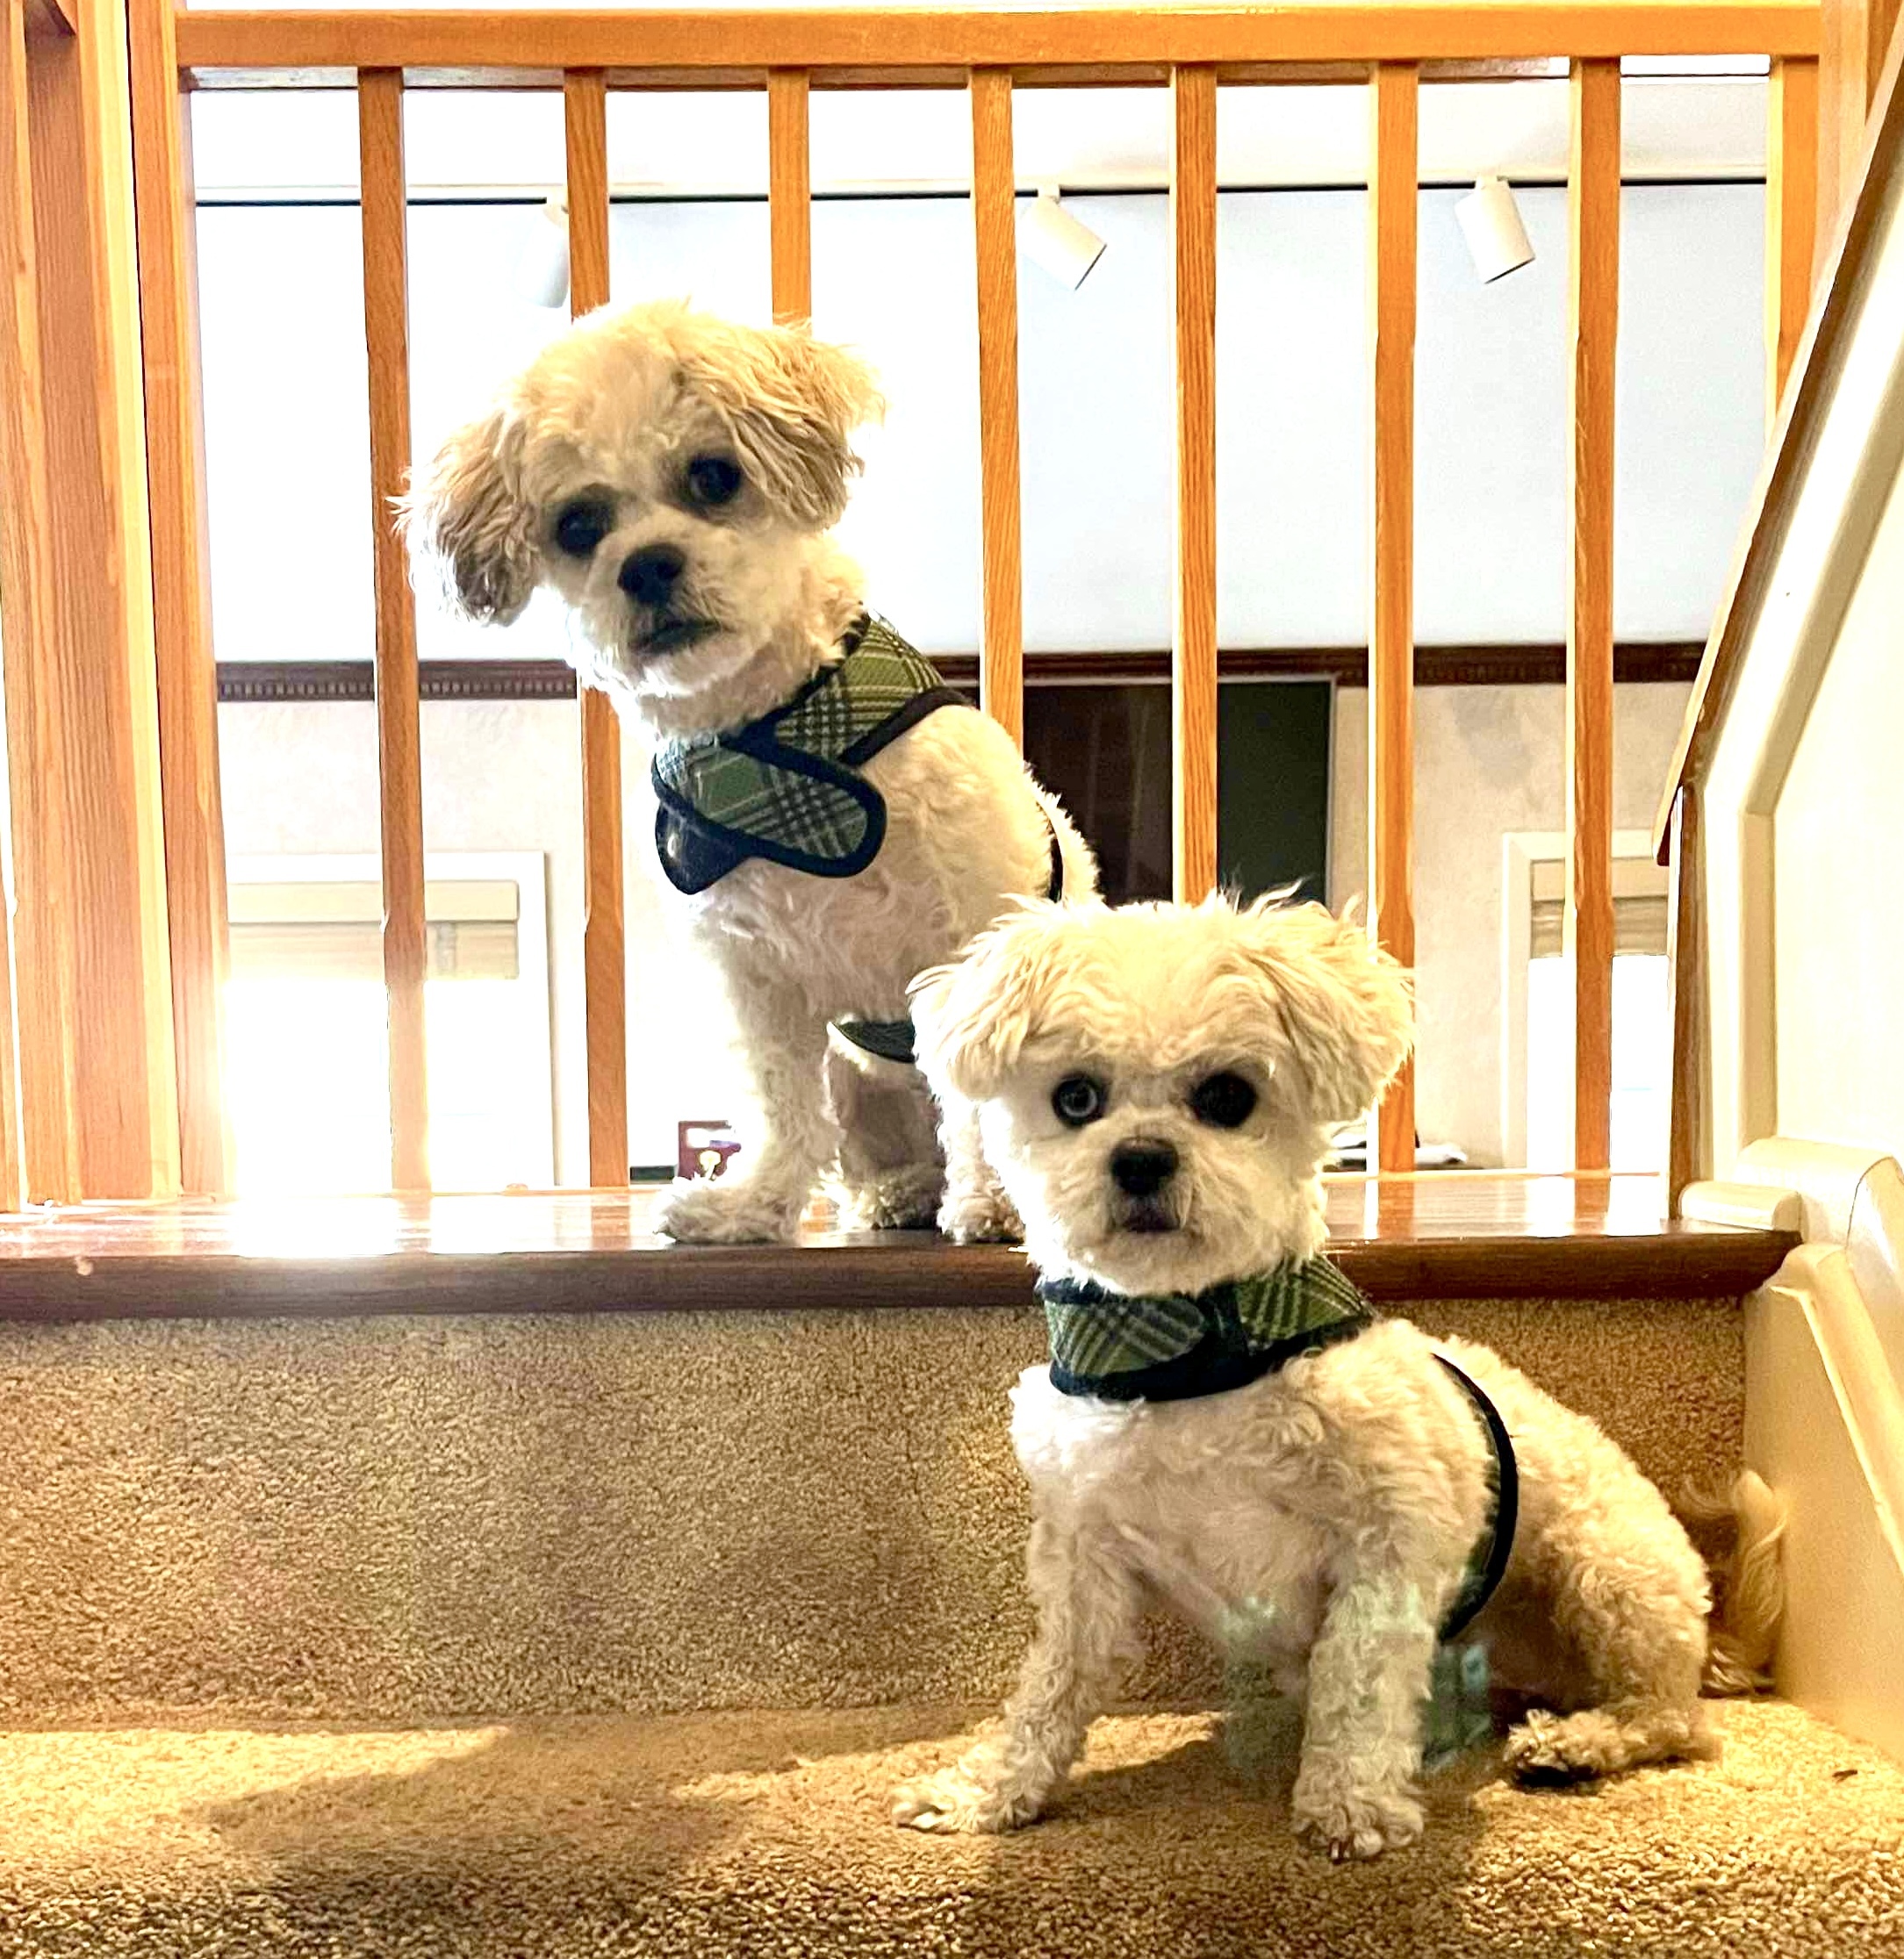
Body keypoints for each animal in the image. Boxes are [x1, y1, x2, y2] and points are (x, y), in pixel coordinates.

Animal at [409, 298, 1096, 1245]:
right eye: (578, 525)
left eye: (713, 477)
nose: (646, 564)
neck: (775, 736)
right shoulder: (756, 979)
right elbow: (781, 1108)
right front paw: (755, 1204)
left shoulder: (973, 937)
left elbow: (977, 1106)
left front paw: (992, 1200)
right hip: (856, 1076)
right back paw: (900, 1192)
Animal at [897, 897, 1786, 1856]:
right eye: (1074, 1098)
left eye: (1227, 1096)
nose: (1138, 1158)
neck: (1192, 1352)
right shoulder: (1083, 1564)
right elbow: (1049, 1692)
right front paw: (987, 1791)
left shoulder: (1389, 1545)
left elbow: (1358, 1686)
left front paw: (1351, 1804)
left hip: (1609, 1572)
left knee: (1671, 1720)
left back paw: (1579, 1744)